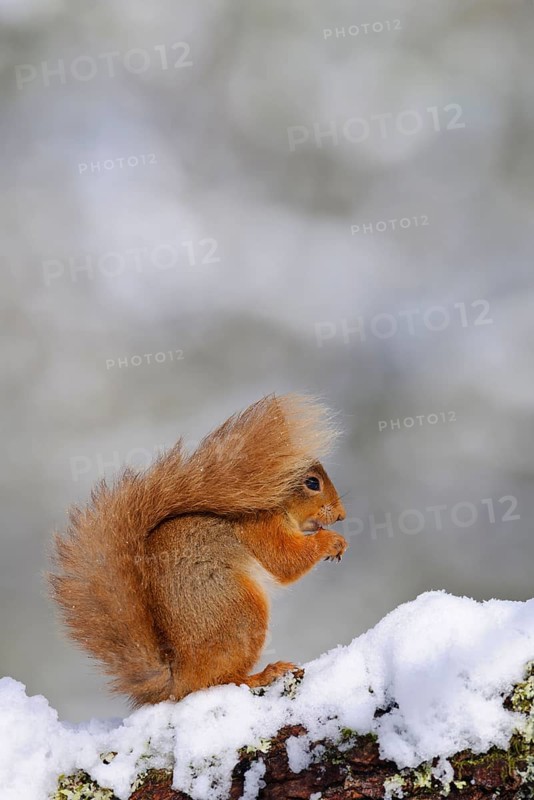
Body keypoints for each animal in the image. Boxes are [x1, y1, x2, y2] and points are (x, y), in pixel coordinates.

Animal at [49, 393, 347, 707]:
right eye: (312, 483)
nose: (341, 515)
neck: (274, 504)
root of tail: (178, 679)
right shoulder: (260, 529)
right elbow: (284, 561)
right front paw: (332, 541)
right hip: (240, 613)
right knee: (218, 680)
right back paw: (263, 675)